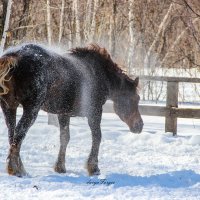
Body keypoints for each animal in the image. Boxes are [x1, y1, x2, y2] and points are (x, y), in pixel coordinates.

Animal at [0, 43, 144, 177]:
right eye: (136, 98)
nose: (140, 126)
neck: (102, 76)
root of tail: (13, 57)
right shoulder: (94, 112)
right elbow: (97, 137)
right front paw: (94, 168)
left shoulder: (64, 113)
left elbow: (65, 138)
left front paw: (60, 167)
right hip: (31, 109)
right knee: (19, 134)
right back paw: (16, 170)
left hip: (9, 107)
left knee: (12, 135)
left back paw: (18, 167)